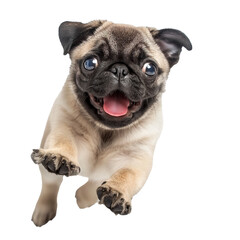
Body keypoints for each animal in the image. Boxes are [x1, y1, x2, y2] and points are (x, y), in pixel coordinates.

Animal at [31, 19, 192, 226]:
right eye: (90, 63)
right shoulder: (65, 127)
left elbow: (128, 175)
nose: (120, 69)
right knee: (50, 184)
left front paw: (115, 192)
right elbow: (64, 142)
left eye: (150, 69)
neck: (106, 130)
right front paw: (60, 156)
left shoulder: (137, 158)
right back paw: (43, 210)